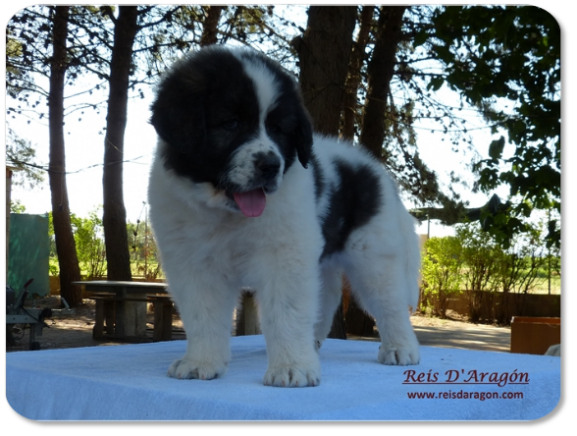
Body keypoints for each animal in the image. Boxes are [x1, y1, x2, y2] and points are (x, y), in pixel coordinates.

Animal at [147, 46, 418, 386]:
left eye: (279, 129)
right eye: (230, 123)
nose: (270, 165)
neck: (227, 214)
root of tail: (376, 170)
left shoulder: (285, 255)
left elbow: (287, 311)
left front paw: (292, 368)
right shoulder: (193, 262)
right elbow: (202, 314)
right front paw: (201, 362)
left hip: (373, 256)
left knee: (389, 302)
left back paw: (400, 348)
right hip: (323, 259)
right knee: (325, 299)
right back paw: (313, 347)